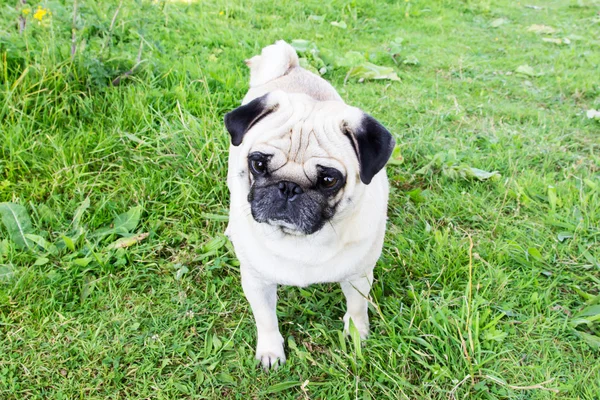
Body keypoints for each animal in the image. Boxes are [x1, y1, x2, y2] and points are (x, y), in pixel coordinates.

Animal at [223, 39, 396, 368]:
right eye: (258, 164)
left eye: (328, 180)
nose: (288, 187)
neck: (301, 241)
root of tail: (292, 67)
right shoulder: (256, 281)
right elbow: (265, 319)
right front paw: (270, 351)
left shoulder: (359, 276)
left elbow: (357, 308)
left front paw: (357, 335)